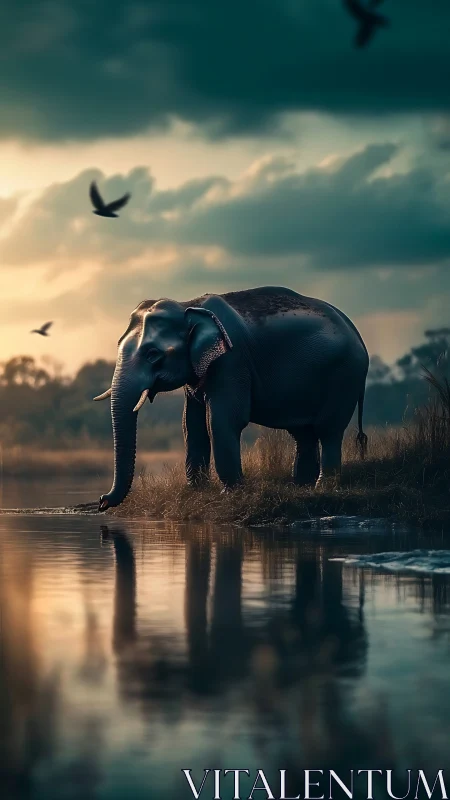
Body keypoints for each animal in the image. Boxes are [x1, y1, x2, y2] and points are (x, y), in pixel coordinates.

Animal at [95, 286, 369, 510]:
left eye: (153, 354)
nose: (101, 501)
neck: (188, 305)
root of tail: (357, 334)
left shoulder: (232, 360)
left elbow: (222, 420)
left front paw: (231, 494)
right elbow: (191, 424)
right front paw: (196, 492)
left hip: (344, 376)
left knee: (328, 430)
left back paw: (323, 487)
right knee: (303, 433)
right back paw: (301, 487)